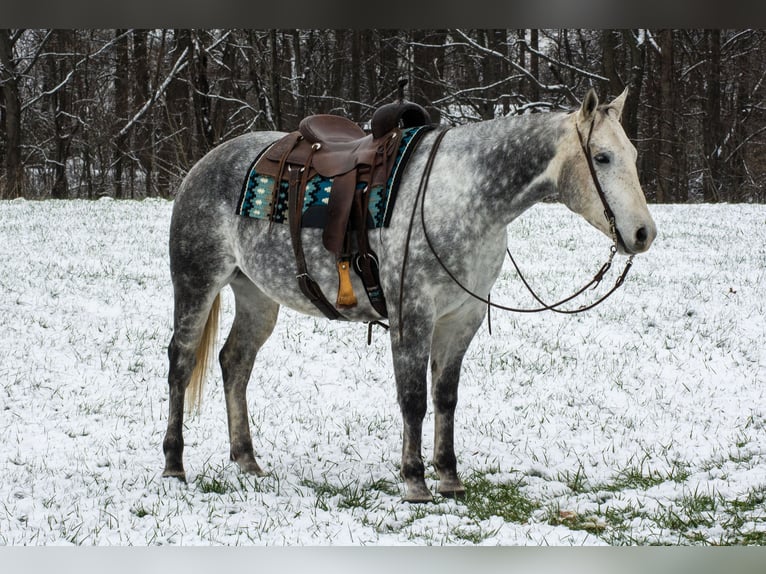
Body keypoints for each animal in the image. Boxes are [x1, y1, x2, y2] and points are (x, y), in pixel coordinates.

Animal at [162, 88, 657, 502]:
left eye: (633, 155)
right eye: (601, 156)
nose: (643, 233)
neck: (464, 195)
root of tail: (205, 164)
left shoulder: (461, 317)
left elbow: (445, 397)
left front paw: (450, 478)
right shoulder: (412, 313)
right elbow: (414, 398)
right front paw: (415, 481)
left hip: (257, 296)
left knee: (235, 362)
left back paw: (247, 461)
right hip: (196, 283)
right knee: (181, 362)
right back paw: (173, 464)